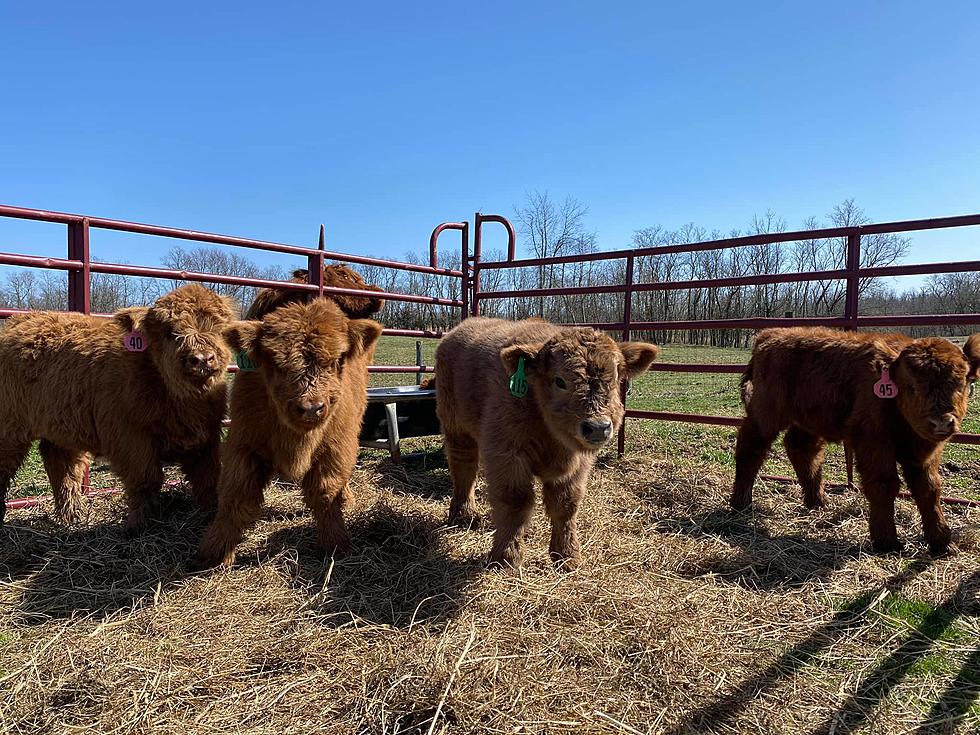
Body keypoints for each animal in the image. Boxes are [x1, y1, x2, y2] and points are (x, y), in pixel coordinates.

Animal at [0, 284, 235, 532]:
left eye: (220, 328)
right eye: (170, 332)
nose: (202, 359)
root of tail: (21, 319)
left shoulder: (205, 436)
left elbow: (208, 477)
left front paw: (211, 514)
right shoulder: (129, 437)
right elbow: (146, 479)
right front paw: (140, 524)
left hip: (61, 423)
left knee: (60, 463)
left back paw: (71, 517)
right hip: (10, 427)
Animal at [195, 300, 382, 568]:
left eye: (336, 360)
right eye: (276, 363)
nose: (311, 408)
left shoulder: (336, 448)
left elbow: (325, 494)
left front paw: (335, 544)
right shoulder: (244, 445)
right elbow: (237, 498)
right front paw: (215, 552)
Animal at [436, 320, 660, 572]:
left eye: (615, 379)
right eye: (560, 380)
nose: (598, 427)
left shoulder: (578, 465)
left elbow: (566, 505)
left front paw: (567, 556)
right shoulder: (507, 454)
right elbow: (515, 502)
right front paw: (506, 558)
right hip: (456, 428)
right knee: (464, 468)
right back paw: (464, 515)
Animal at [736, 330, 980, 556]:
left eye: (962, 382)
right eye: (910, 386)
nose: (941, 422)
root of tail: (769, 334)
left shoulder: (923, 454)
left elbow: (929, 489)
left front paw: (942, 542)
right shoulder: (873, 443)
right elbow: (884, 484)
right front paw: (887, 541)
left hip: (808, 420)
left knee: (802, 449)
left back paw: (818, 502)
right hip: (766, 415)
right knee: (751, 447)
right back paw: (741, 502)